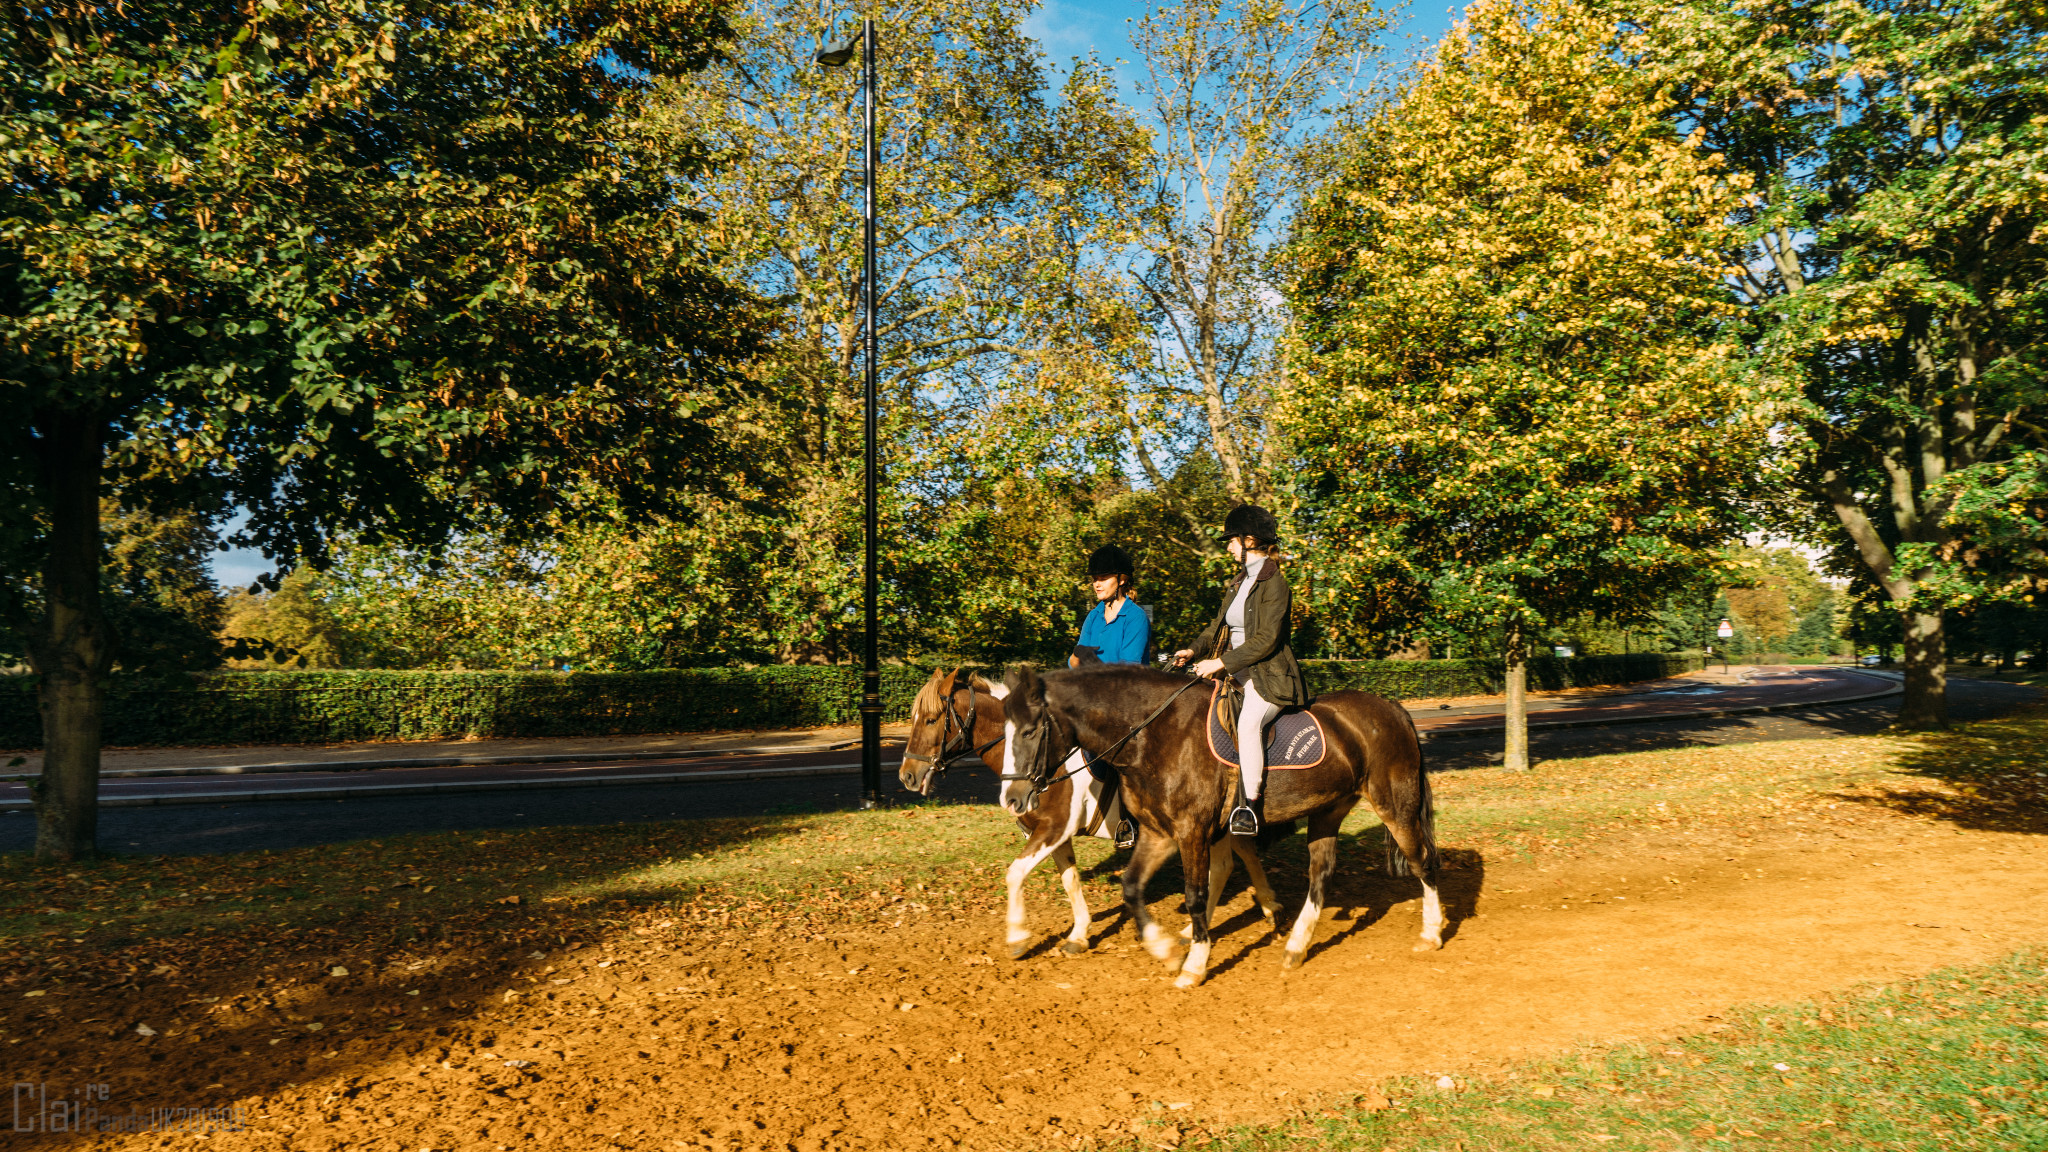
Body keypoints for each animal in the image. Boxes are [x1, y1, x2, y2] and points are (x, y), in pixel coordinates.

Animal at [901, 668, 1277, 955]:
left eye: (931, 720)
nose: (907, 775)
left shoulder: (1054, 828)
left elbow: (1015, 873)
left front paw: (1018, 937)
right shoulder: (1054, 835)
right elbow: (1070, 880)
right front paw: (1079, 934)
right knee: (1231, 860)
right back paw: (1255, 909)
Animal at [1003, 664, 1449, 988]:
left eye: (1029, 731)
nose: (1012, 798)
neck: (1153, 735)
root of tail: (1392, 709)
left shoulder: (1191, 832)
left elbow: (1195, 894)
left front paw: (1194, 965)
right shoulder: (1159, 834)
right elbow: (1132, 887)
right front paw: (1165, 949)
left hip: (1395, 806)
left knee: (1423, 863)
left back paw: (1431, 934)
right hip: (1328, 810)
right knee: (1321, 875)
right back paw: (1296, 946)